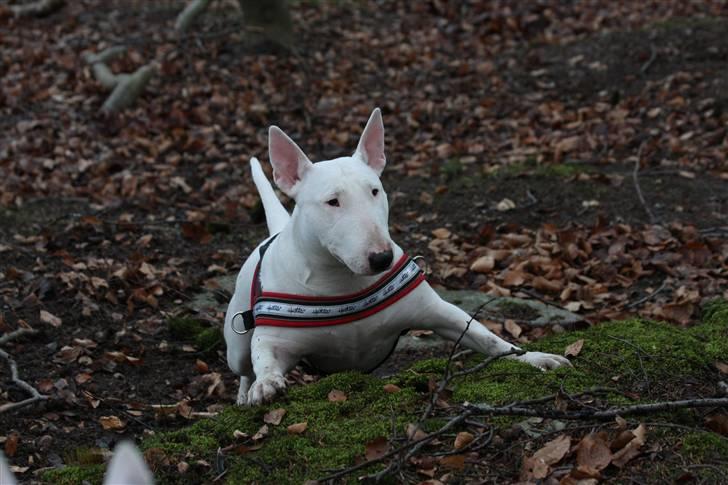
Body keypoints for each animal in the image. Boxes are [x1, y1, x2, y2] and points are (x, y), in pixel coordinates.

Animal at [225, 108, 572, 404]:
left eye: (375, 190)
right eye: (332, 201)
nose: (381, 259)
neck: (342, 280)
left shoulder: (440, 313)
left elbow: (490, 340)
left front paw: (536, 358)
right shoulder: (274, 340)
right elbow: (264, 358)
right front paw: (266, 384)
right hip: (236, 339)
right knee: (243, 368)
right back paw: (243, 394)